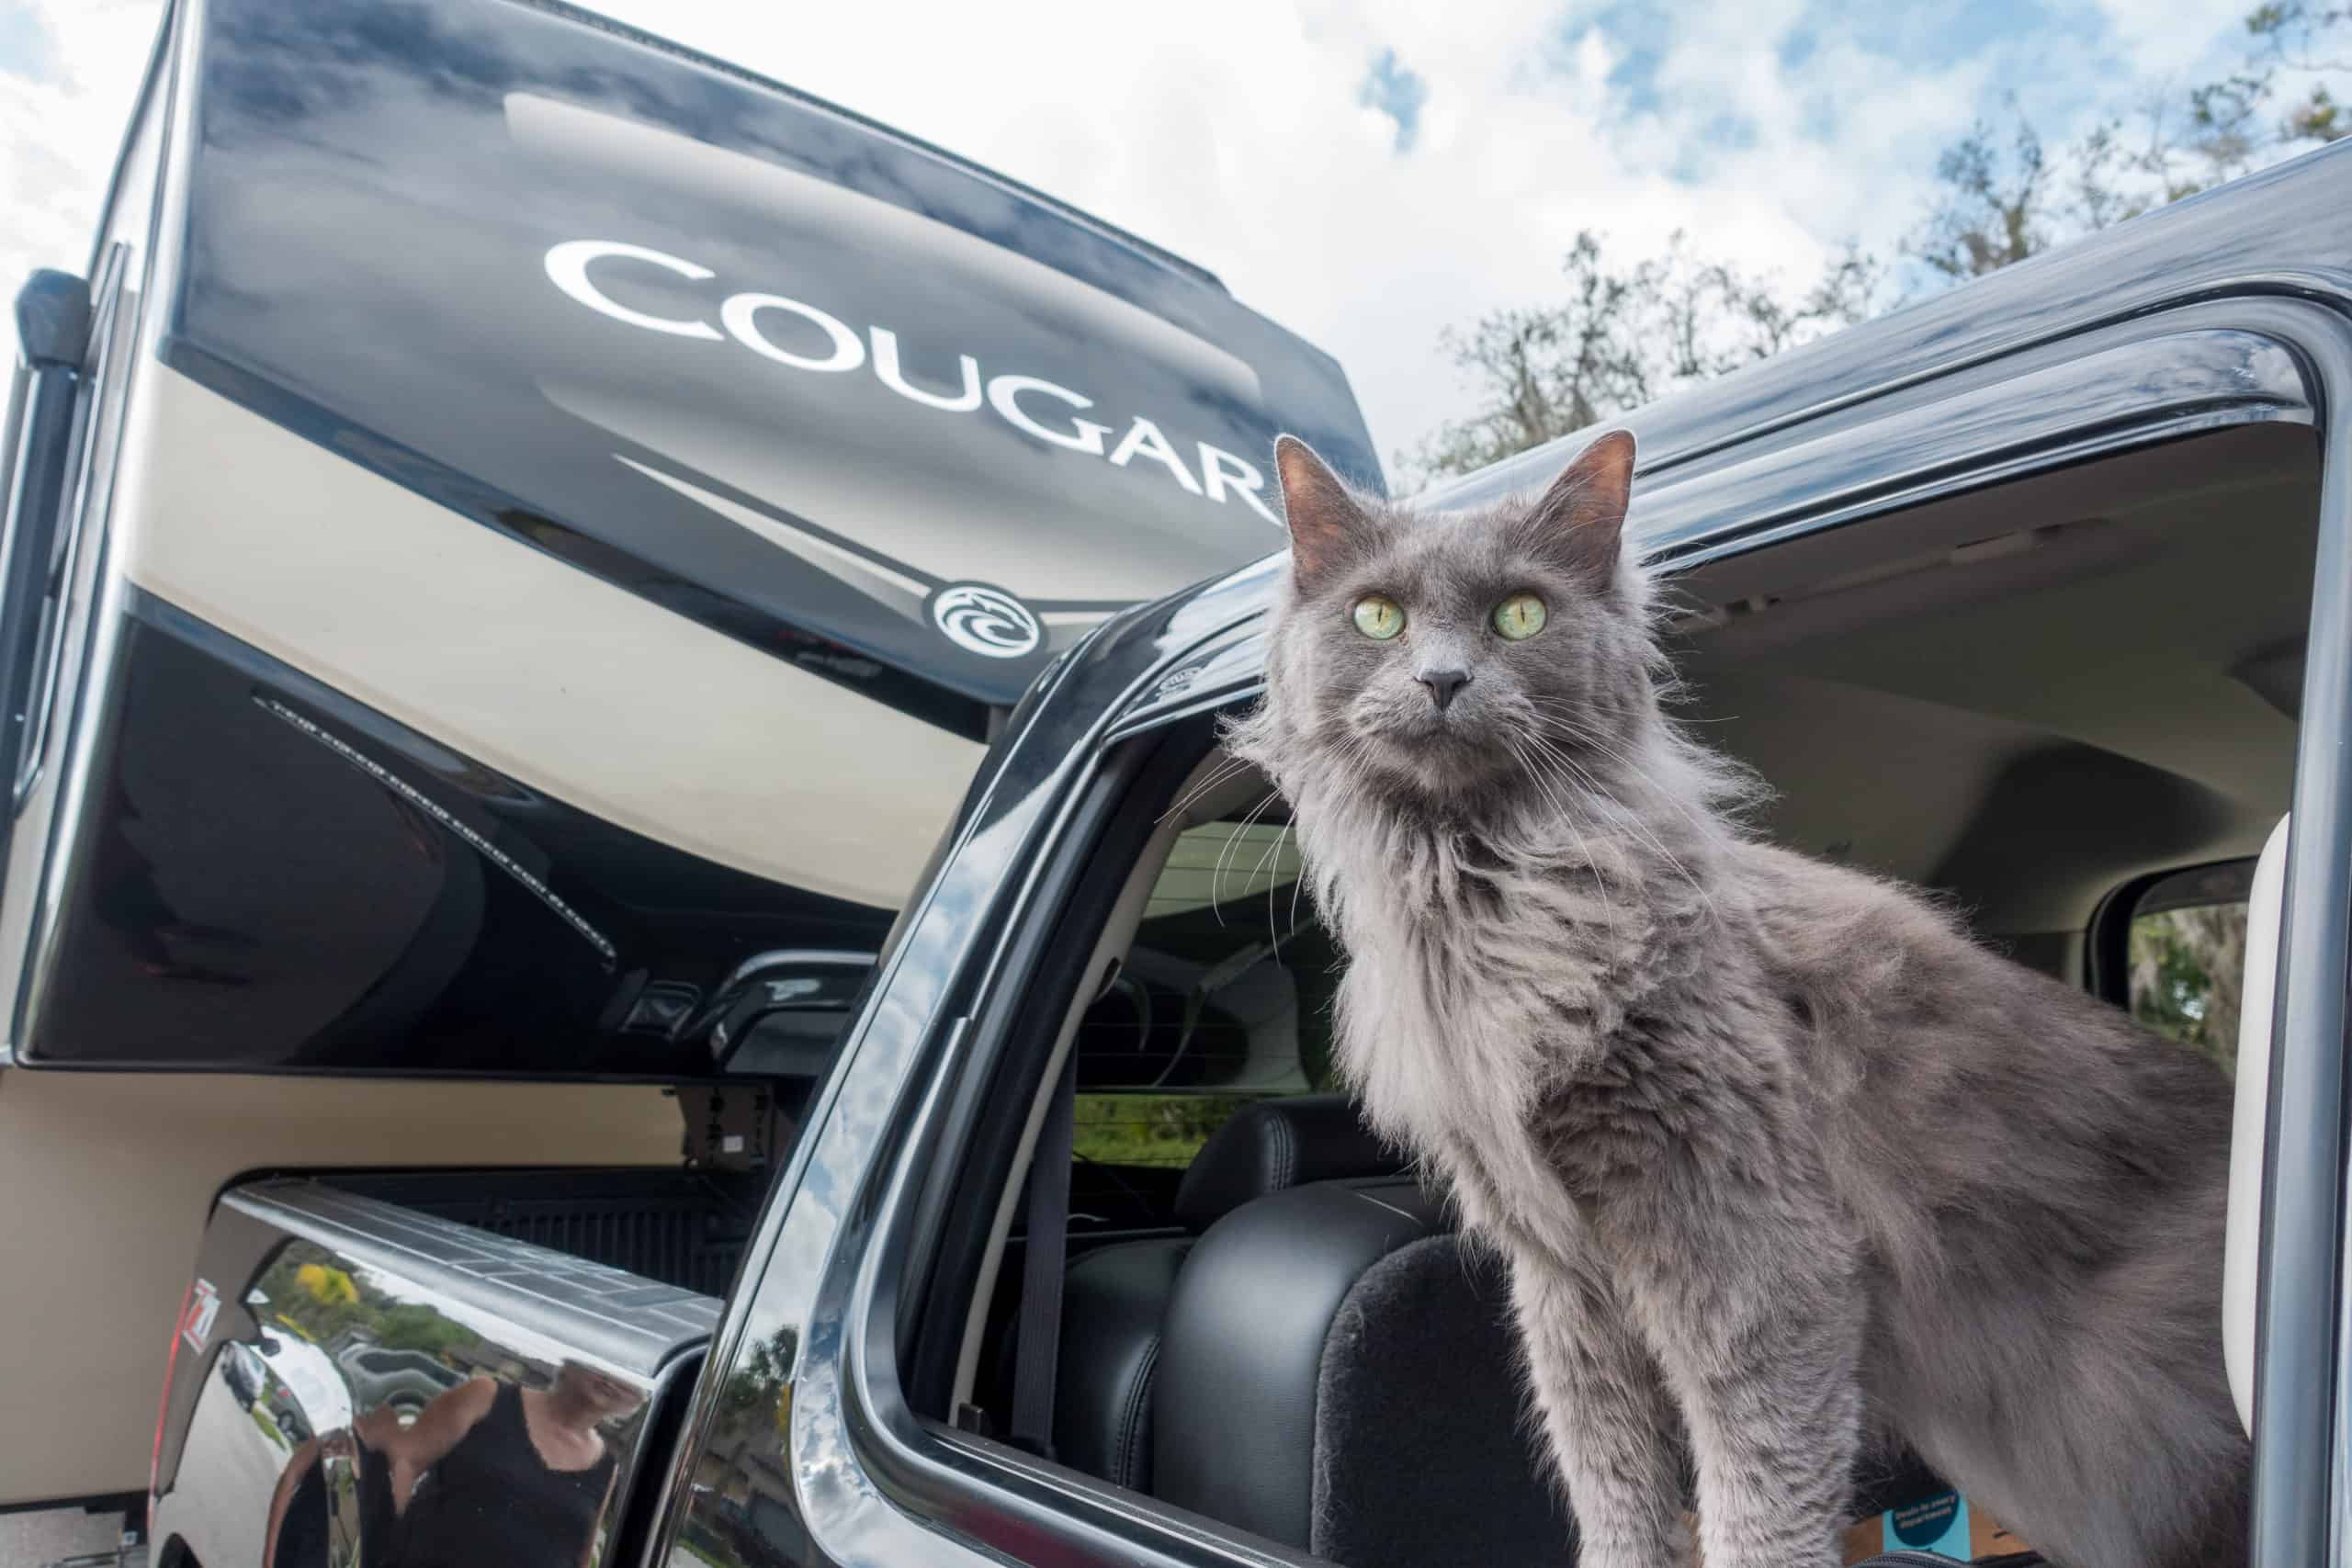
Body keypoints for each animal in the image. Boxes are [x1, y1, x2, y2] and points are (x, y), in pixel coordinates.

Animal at [1223, 430, 2248, 1568]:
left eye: (1518, 615)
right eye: (1378, 617)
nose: (1442, 678)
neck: (1486, 894)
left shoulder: (1753, 1258)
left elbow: (1756, 1501)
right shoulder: (1563, 1284)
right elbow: (1611, 1487)